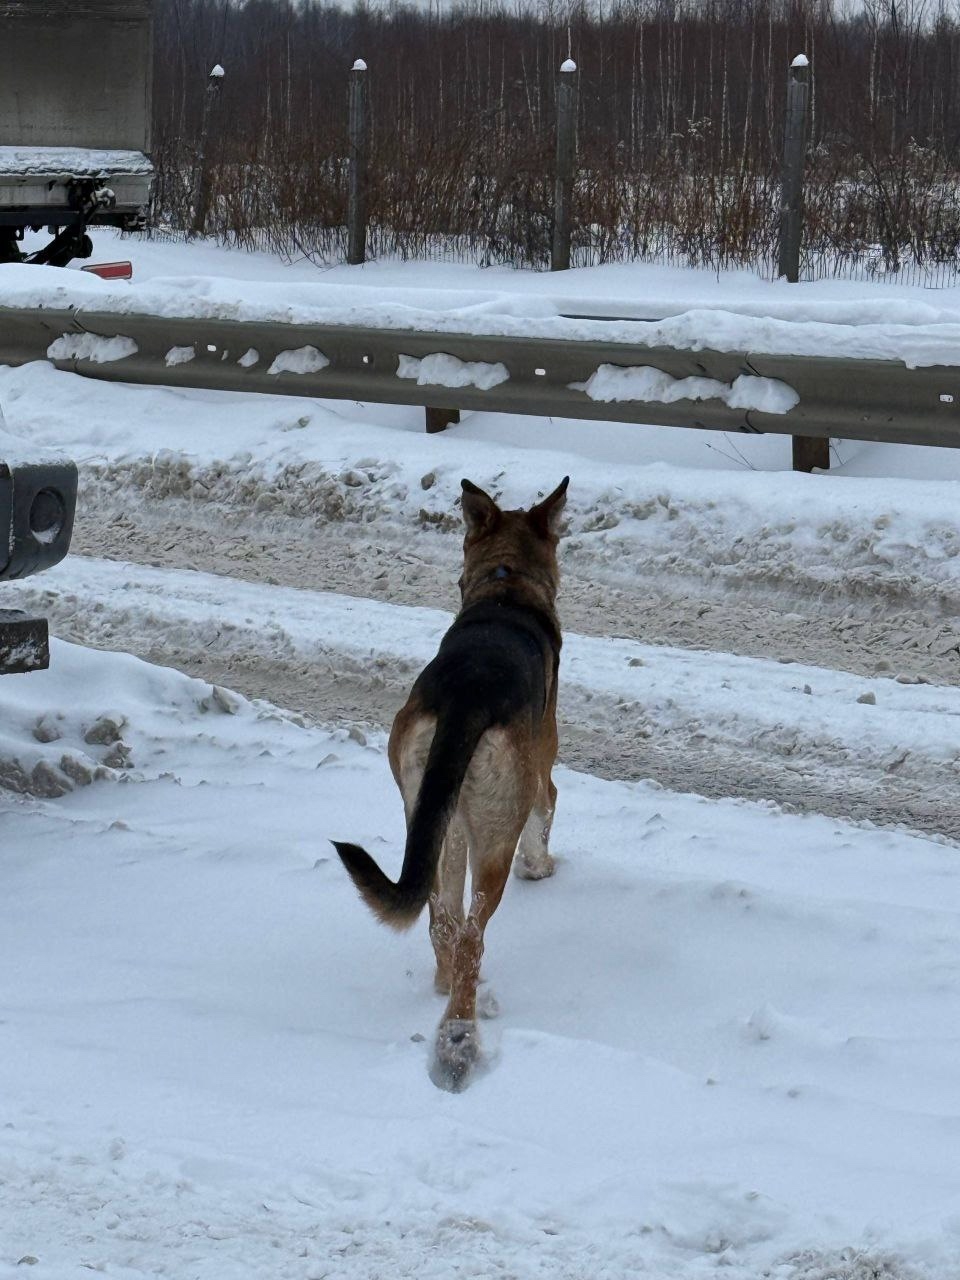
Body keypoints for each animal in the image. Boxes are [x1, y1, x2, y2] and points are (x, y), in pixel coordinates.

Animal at [333, 476, 568, 1090]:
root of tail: (465, 699)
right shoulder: (543, 759)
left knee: (441, 920)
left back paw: (442, 993)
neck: (505, 585)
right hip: (495, 833)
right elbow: (549, 807)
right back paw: (458, 1040)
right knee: (470, 937)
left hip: (427, 807)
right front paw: (543, 868)